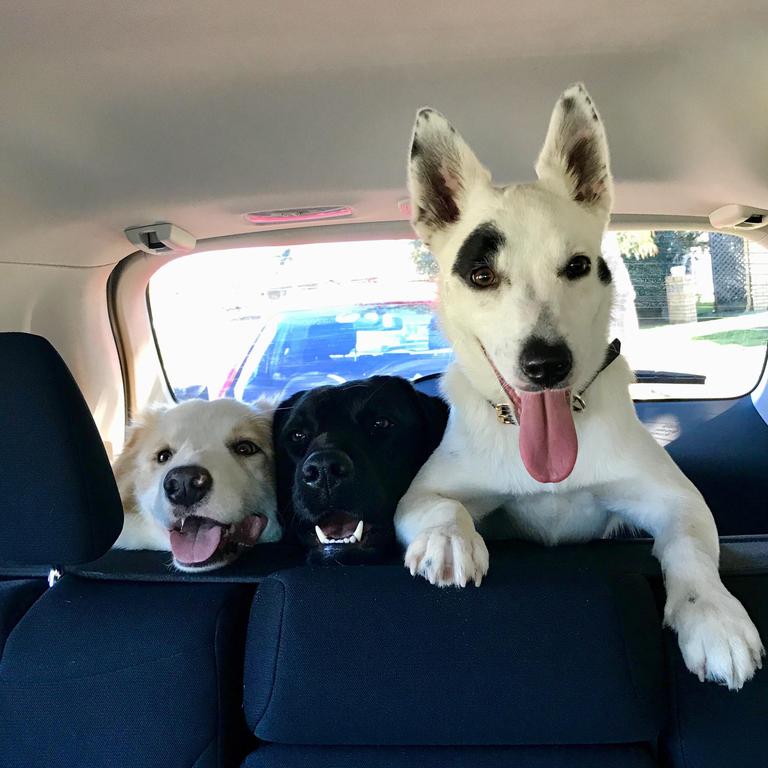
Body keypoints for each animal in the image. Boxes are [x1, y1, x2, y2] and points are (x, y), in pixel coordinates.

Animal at [396, 84, 760, 688]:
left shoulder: (675, 498)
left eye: (577, 266)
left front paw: (713, 616)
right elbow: (436, 507)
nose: (547, 365)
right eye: (481, 275)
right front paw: (449, 538)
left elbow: (688, 546)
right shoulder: (420, 494)